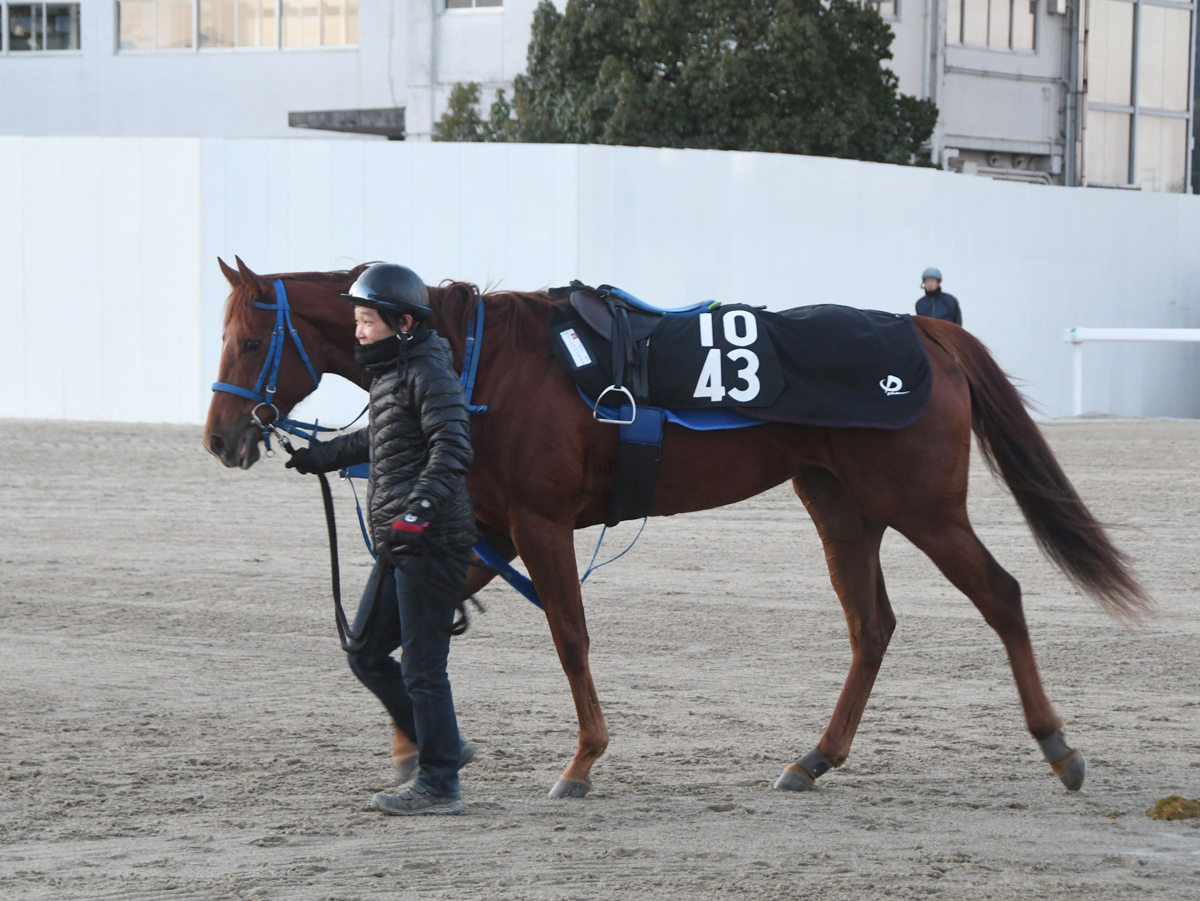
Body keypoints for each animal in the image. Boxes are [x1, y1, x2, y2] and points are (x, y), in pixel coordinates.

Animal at [204, 256, 1142, 801]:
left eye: (248, 341)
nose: (220, 438)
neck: (481, 360)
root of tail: (923, 328)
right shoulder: (487, 532)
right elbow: (393, 633)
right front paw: (417, 751)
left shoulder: (541, 524)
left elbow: (570, 636)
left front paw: (582, 760)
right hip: (842, 505)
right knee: (872, 625)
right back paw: (814, 757)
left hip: (924, 507)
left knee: (1001, 595)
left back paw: (1059, 746)